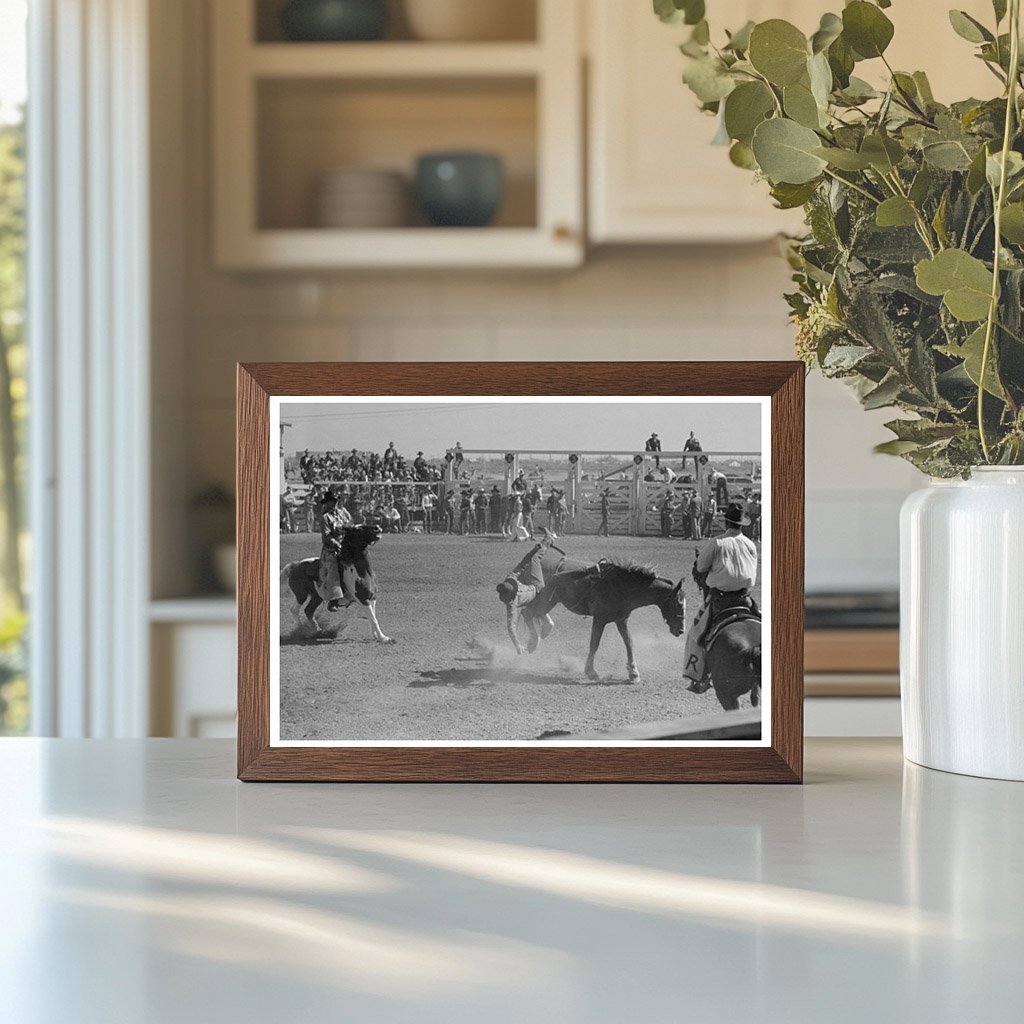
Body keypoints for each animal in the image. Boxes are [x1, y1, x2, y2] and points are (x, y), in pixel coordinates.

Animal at [497, 557, 684, 684]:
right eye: (678, 603)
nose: (681, 630)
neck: (621, 585)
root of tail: (532, 565)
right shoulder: (600, 619)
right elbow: (594, 644)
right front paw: (591, 672)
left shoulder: (621, 619)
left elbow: (629, 643)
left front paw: (633, 673)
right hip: (545, 599)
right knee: (528, 613)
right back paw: (533, 642)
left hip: (551, 600)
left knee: (533, 613)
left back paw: (541, 633)